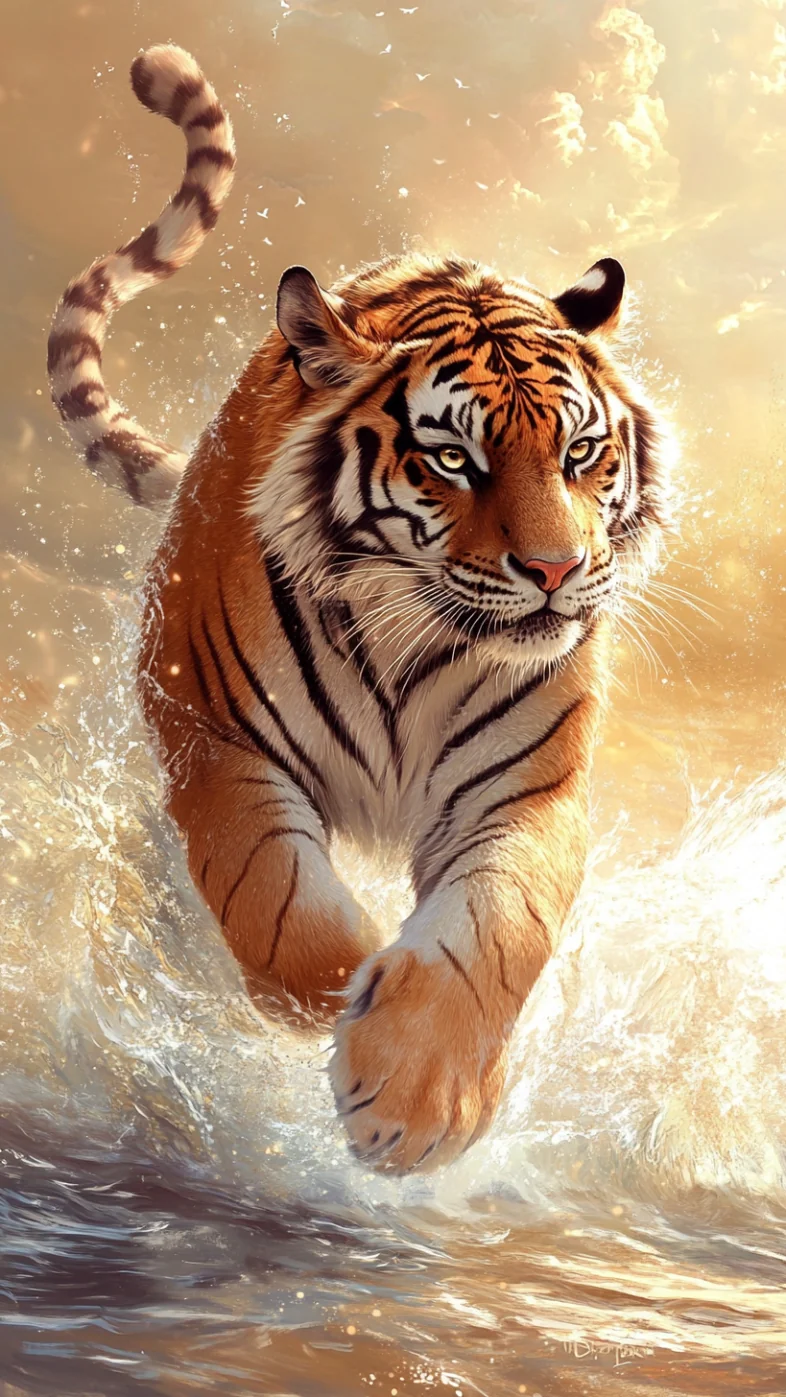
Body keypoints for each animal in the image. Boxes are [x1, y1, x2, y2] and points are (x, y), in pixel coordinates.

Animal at [48, 44, 670, 1175]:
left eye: (579, 453)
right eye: (454, 459)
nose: (555, 569)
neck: (418, 638)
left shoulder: (524, 787)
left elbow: (499, 926)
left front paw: (420, 1096)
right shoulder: (218, 741)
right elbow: (274, 901)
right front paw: (342, 997)